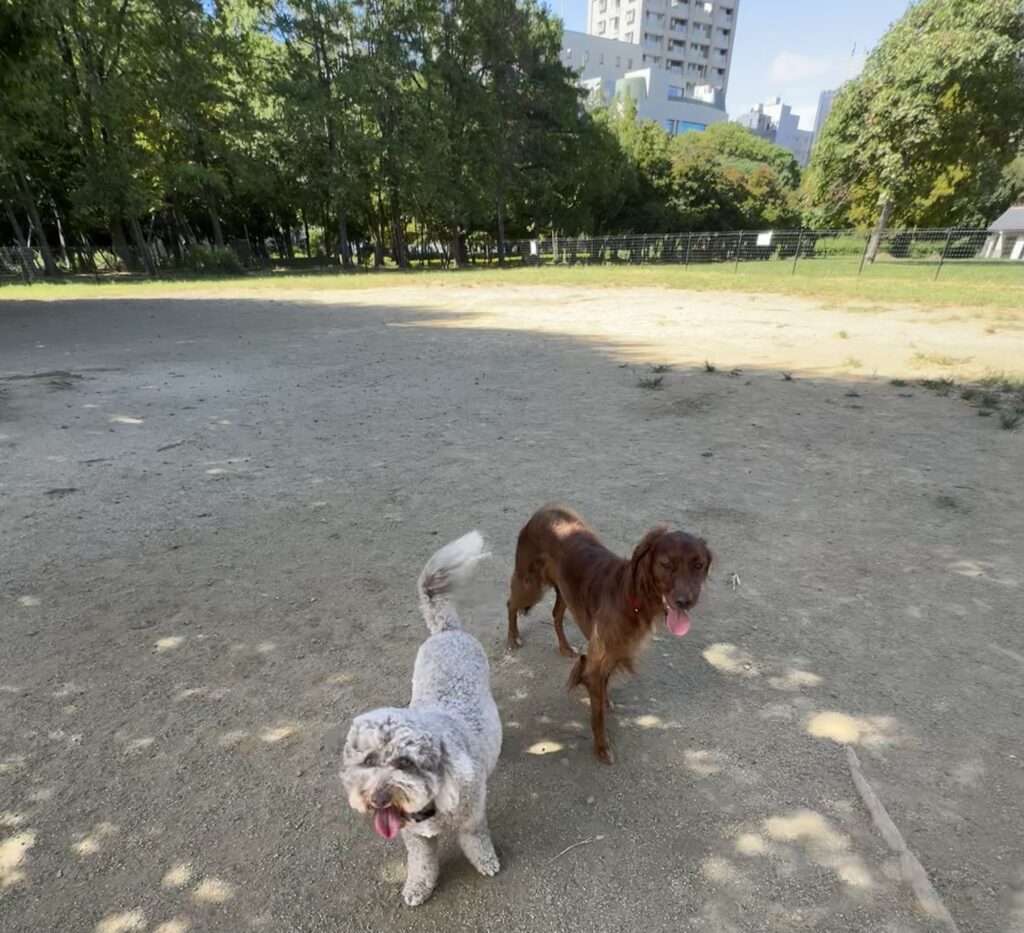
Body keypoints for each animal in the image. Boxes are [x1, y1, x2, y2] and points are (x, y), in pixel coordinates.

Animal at [342, 532, 501, 905]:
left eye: (406, 763)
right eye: (368, 761)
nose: (378, 799)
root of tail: (446, 630)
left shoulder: (472, 817)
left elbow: (476, 841)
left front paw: (486, 862)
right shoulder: (414, 837)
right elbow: (422, 863)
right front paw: (417, 887)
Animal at [505, 507, 712, 761]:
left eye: (698, 565)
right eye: (666, 564)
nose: (685, 601)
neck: (630, 597)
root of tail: (543, 510)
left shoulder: (614, 652)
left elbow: (604, 686)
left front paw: (605, 702)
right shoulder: (596, 662)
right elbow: (598, 716)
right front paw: (602, 748)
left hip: (564, 591)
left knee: (555, 614)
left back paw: (565, 647)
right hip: (530, 584)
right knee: (511, 603)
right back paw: (513, 638)